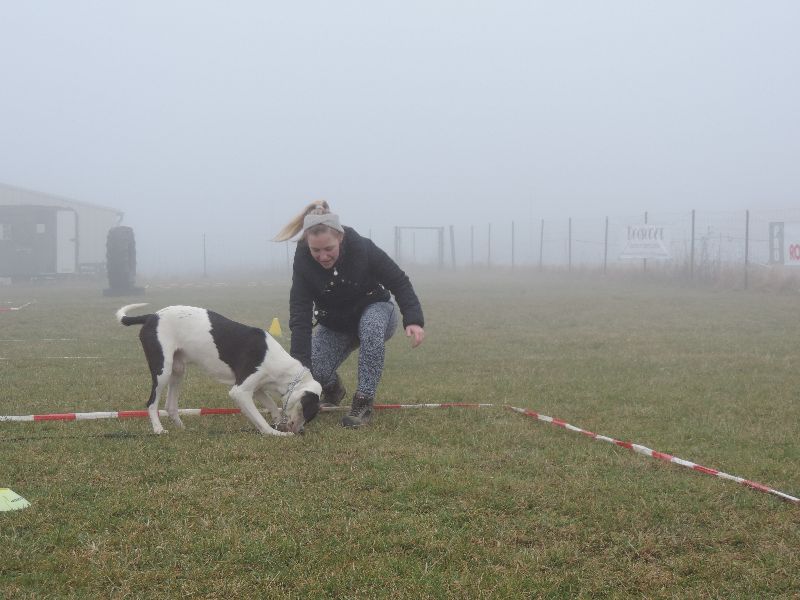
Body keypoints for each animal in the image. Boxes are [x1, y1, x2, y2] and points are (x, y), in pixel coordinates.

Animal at [116, 304, 320, 436]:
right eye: (307, 412)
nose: (300, 431)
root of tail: (152, 316)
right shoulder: (240, 391)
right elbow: (260, 419)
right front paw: (274, 432)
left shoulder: (256, 389)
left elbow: (272, 406)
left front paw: (278, 423)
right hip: (162, 370)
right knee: (151, 402)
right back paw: (158, 429)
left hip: (178, 369)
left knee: (170, 406)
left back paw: (181, 428)